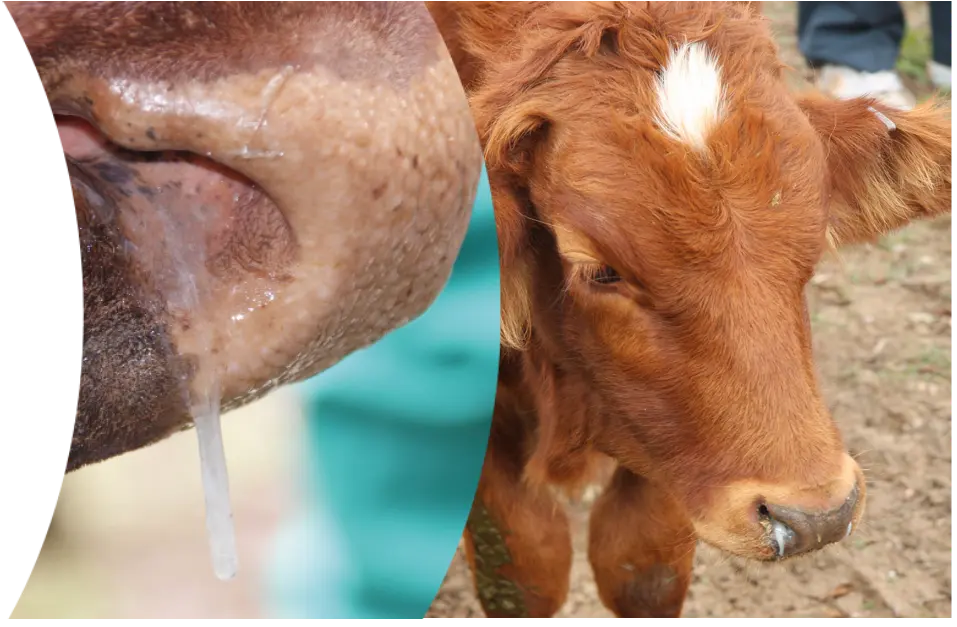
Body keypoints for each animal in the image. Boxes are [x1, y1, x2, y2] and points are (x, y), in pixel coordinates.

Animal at [426, 0, 953, 620]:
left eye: (813, 237)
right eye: (601, 271)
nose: (817, 516)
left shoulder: (674, 441)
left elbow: (643, 568)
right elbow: (521, 571)